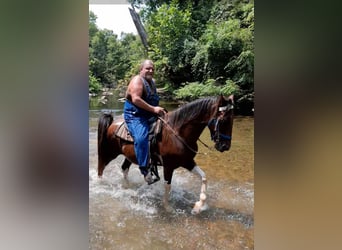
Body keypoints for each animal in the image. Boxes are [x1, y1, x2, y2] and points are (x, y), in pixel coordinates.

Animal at [97, 95, 234, 213]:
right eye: (223, 121)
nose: (225, 146)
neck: (178, 133)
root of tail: (113, 122)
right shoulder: (169, 166)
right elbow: (167, 186)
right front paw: (168, 208)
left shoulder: (187, 161)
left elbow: (204, 177)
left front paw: (198, 206)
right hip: (110, 153)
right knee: (101, 167)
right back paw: (100, 185)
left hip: (129, 156)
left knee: (124, 168)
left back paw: (128, 186)